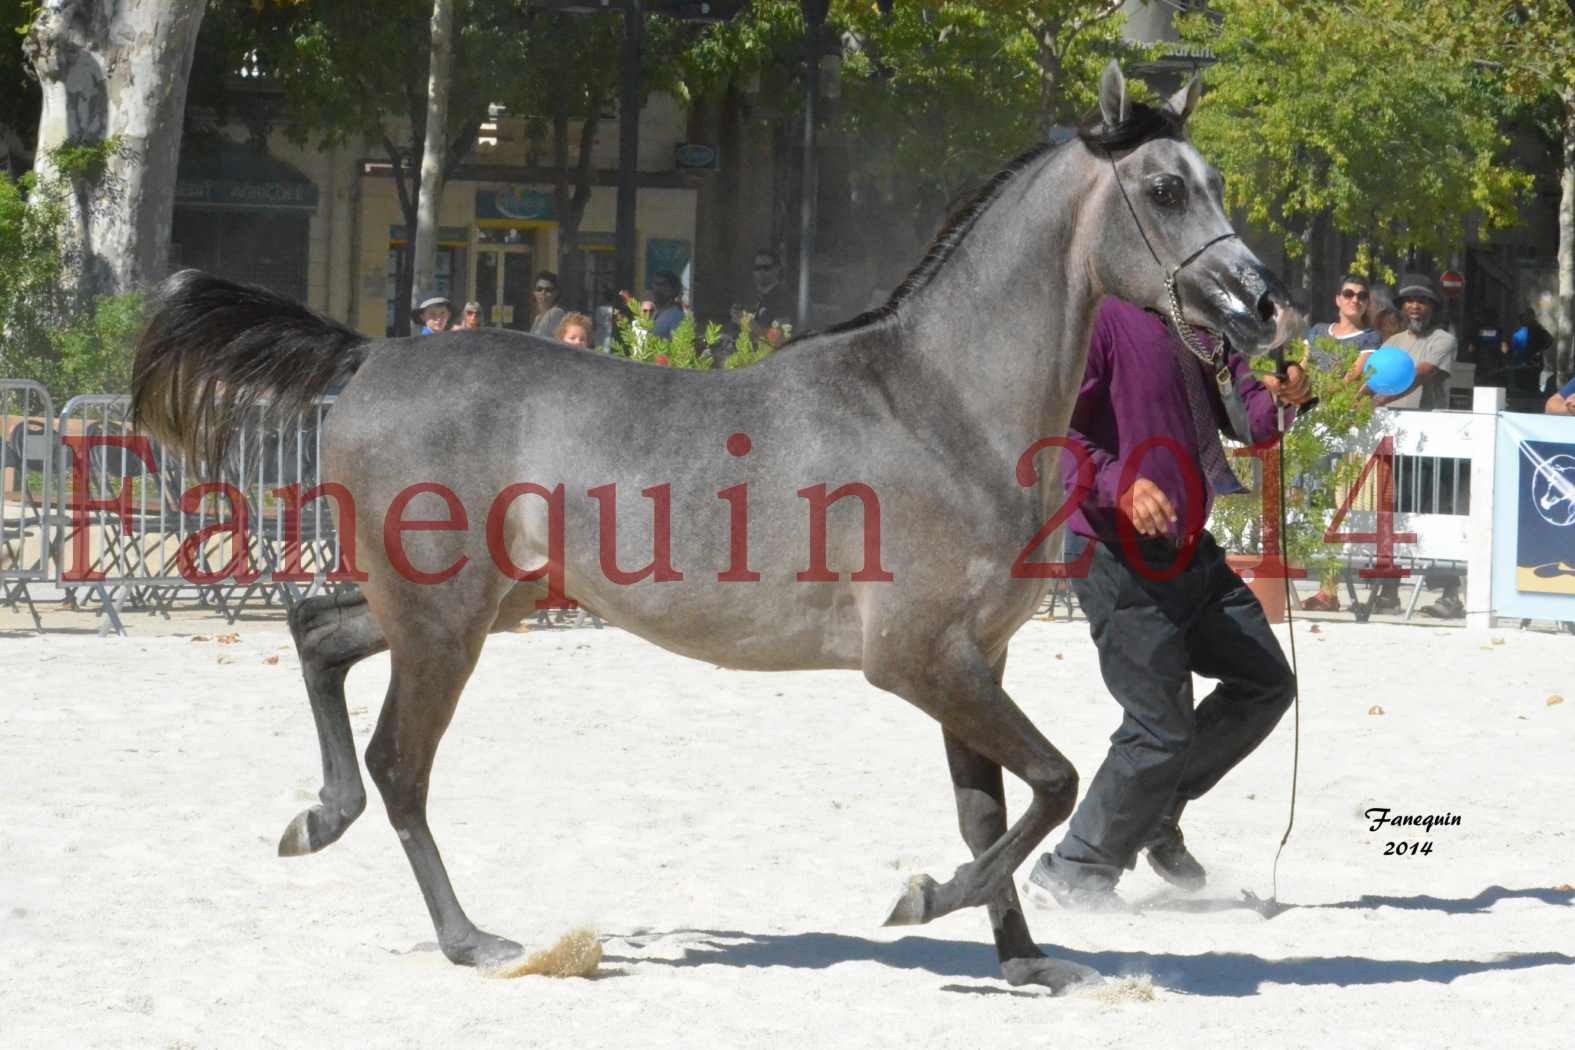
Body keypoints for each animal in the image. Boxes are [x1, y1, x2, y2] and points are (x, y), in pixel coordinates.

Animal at [132, 67, 1291, 994]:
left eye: (1214, 180)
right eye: (1165, 188)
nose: (1264, 306)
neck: (940, 403)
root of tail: (372, 354)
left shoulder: (977, 659)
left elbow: (992, 808)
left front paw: (1023, 959)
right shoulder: (918, 661)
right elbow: (1048, 784)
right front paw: (924, 900)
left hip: (474, 604)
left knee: (315, 632)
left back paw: (314, 821)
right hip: (443, 623)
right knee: (400, 764)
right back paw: (473, 939)